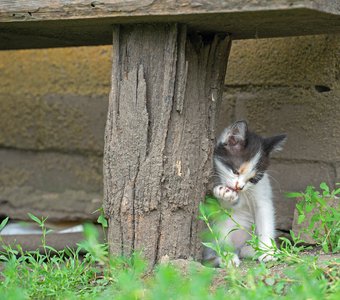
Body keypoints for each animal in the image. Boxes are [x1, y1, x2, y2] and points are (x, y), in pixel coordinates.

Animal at [205, 120, 286, 266]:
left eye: (252, 179)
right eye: (235, 171)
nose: (239, 187)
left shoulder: (262, 196)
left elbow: (266, 221)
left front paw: (267, 251)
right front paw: (224, 193)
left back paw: (252, 249)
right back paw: (226, 257)